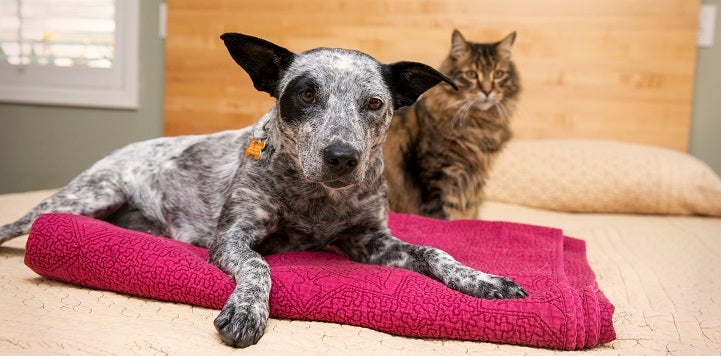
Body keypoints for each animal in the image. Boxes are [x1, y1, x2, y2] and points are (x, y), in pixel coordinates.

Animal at [386, 29, 520, 220]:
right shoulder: (439, 174)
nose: (487, 91)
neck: (479, 125)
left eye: (498, 74)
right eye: (471, 75)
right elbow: (445, 214)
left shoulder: (475, 179)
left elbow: (468, 210)